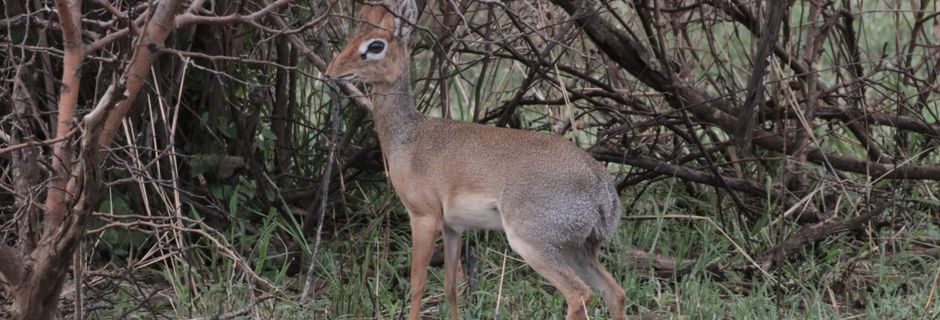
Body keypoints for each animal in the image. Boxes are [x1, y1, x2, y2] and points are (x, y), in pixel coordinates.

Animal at [324, 1, 624, 318]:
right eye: (351, 36)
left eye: (376, 45)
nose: (331, 72)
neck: (408, 136)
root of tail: (602, 188)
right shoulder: (452, 227)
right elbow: (451, 288)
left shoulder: (423, 217)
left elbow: (417, 284)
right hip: (579, 249)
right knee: (614, 292)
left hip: (533, 244)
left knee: (580, 294)